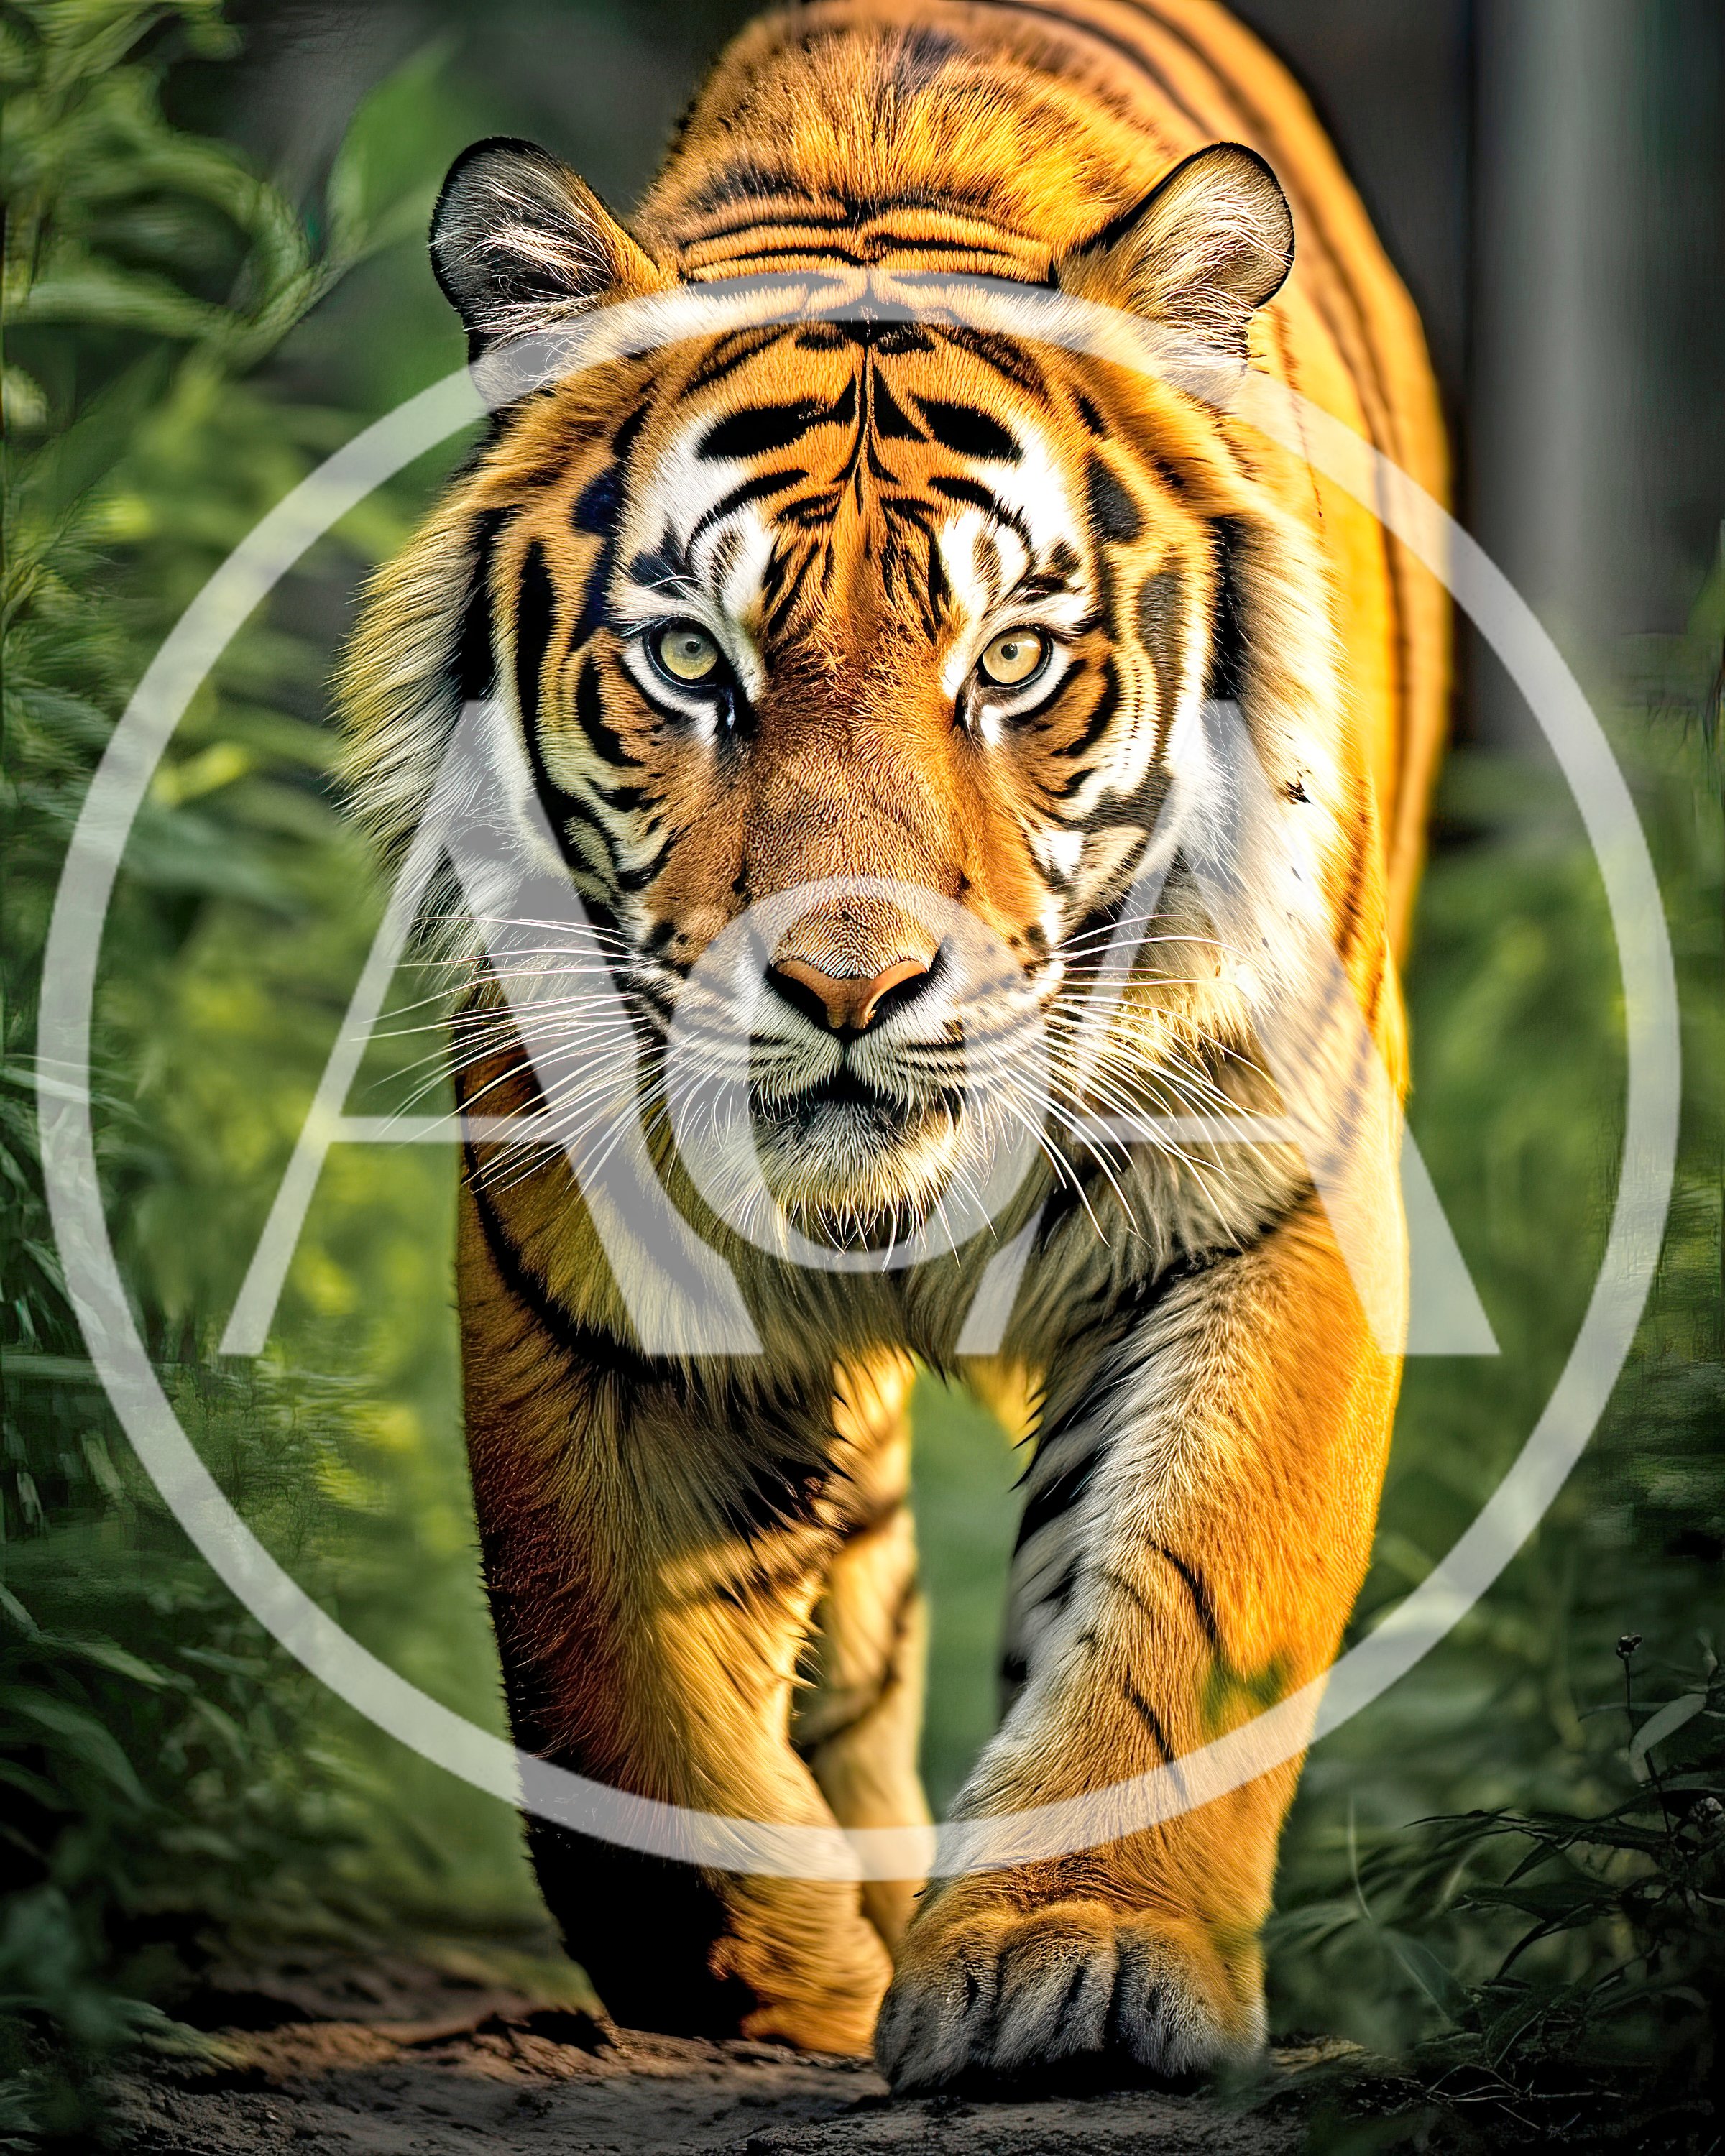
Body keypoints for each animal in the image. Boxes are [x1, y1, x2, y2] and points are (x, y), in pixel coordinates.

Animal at [339, 0, 1447, 2090]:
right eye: (690, 659)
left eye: (1009, 660)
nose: (847, 987)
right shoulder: (585, 1263)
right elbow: (615, 1694)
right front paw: (776, 1989)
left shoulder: (1269, 1189)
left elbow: (1184, 1590)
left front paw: (1074, 1962)